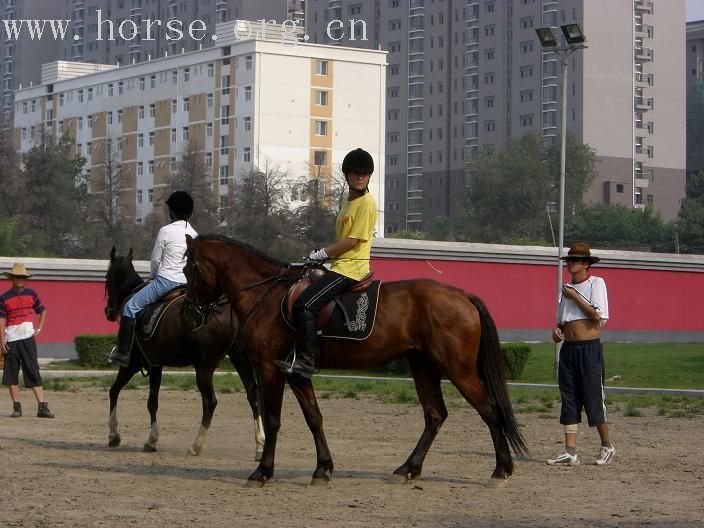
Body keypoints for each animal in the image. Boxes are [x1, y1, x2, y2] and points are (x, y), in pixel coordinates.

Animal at [106, 248, 266, 458]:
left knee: (210, 401)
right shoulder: (156, 365)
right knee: (253, 395)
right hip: (240, 358)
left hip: (204, 368)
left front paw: (114, 435)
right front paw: (151, 440)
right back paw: (260, 445)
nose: (108, 311)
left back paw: (196, 445)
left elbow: (114, 391)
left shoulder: (133, 364)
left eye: (107, 277)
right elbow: (152, 402)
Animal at [184, 235, 524, 486]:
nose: (191, 313)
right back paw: (409, 468)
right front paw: (323, 469)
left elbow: (273, 419)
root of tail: (463, 295)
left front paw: (262, 472)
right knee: (435, 415)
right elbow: (314, 418)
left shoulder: (269, 369)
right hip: (423, 366)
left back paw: (500, 471)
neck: (266, 295)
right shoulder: (297, 373)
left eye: (190, 270)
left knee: (490, 410)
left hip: (458, 369)